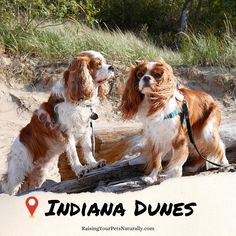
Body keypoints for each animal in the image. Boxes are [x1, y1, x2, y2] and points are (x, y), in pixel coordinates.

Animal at [1, 49, 114, 194]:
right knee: (10, 189)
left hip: (38, 174)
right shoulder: (67, 134)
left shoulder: (85, 130)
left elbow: (87, 150)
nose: (112, 67)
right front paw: (80, 170)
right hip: (17, 172)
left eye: (105, 62)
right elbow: (74, 154)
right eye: (98, 64)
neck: (78, 101)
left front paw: (94, 164)